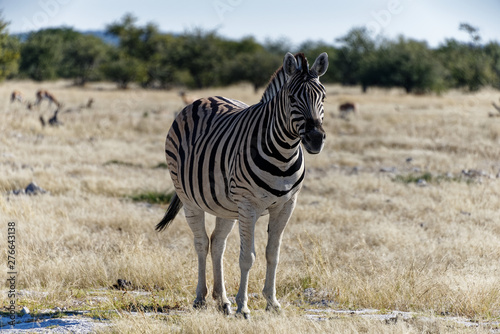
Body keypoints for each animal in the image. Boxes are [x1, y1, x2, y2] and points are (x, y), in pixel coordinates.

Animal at [156, 52, 328, 318]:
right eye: (291, 98)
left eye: (323, 97)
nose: (316, 139)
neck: (283, 153)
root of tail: (204, 98)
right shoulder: (248, 205)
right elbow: (248, 256)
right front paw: (243, 307)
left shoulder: (287, 205)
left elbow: (273, 254)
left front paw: (272, 302)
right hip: (189, 198)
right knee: (201, 243)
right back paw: (201, 298)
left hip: (225, 205)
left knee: (217, 243)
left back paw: (222, 300)